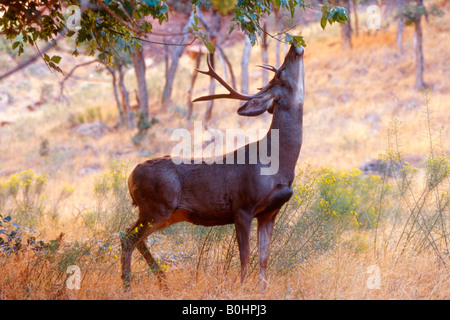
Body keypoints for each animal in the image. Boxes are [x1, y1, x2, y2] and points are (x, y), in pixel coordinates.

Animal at [120, 44, 306, 288]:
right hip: (156, 208)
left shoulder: (270, 212)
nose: (295, 45)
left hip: (165, 213)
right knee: (128, 238)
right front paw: (241, 287)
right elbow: (245, 256)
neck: (278, 164)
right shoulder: (242, 206)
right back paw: (128, 286)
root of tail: (130, 176)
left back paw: (162, 283)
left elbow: (264, 259)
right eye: (280, 74)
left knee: (133, 238)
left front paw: (262, 289)